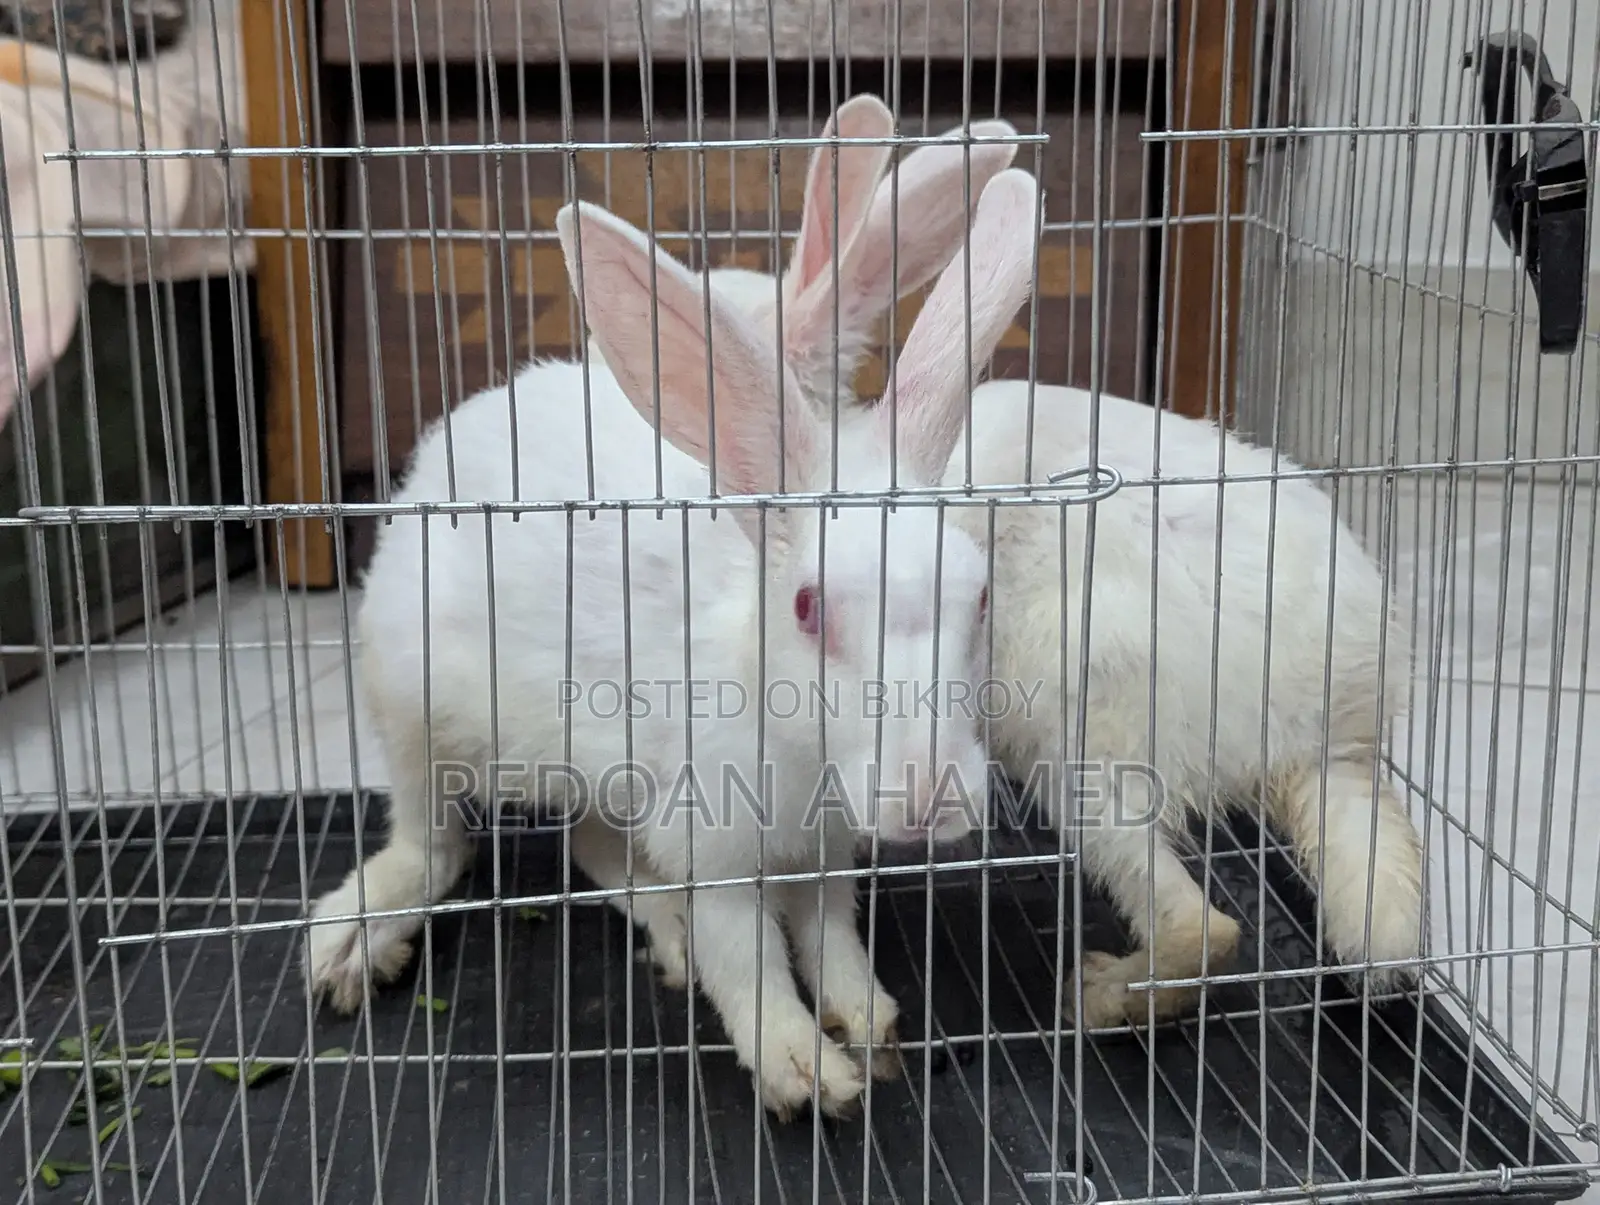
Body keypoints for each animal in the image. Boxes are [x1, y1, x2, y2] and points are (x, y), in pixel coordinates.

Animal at [303, 167, 1045, 1117]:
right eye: (807, 606)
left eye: (980, 595)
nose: (930, 799)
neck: (797, 741)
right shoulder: (712, 842)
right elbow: (748, 959)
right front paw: (804, 1068)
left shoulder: (822, 854)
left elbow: (831, 935)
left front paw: (869, 1023)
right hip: (415, 709)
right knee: (438, 844)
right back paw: (354, 945)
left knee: (588, 842)